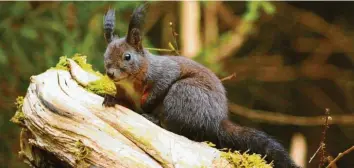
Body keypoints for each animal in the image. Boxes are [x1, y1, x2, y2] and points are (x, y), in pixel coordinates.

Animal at [101, 3, 300, 168]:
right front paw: (111, 98)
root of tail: (217, 121)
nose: (110, 73)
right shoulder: (126, 93)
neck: (129, 82)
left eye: (127, 56)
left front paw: (146, 105)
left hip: (184, 93)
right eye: (105, 55)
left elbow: (159, 88)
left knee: (176, 127)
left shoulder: (163, 73)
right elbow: (125, 103)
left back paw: (155, 119)